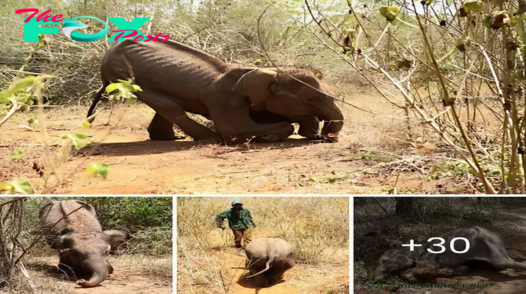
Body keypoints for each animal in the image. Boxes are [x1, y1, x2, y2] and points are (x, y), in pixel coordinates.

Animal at [86, 39, 346, 145]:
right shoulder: (226, 98)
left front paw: (311, 132)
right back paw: (208, 138)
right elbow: (236, 128)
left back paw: (170, 138)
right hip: (121, 72)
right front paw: (265, 137)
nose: (329, 138)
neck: (265, 70)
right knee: (167, 105)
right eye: (311, 98)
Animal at [378, 226, 526, 282]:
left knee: (504, 262)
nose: (378, 273)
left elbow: (424, 270)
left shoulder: (428, 256)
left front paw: (409, 275)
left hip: (493, 249)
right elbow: (464, 268)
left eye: (384, 260)